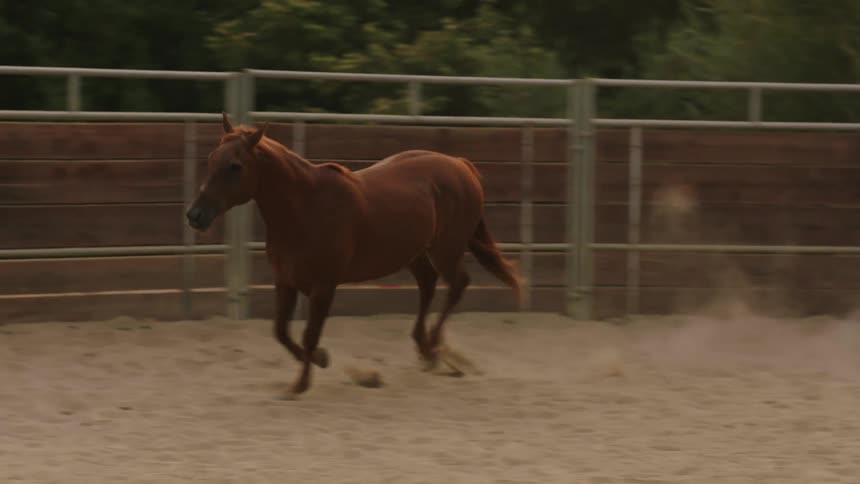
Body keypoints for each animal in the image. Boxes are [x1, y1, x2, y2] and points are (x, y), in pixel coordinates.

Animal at [186, 113, 522, 397]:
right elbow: (280, 331)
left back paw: (435, 348)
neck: (305, 209)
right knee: (428, 285)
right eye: (212, 158)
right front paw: (320, 359)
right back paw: (425, 349)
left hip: (446, 250)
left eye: (235, 166)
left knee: (457, 284)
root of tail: (461, 165)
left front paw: (300, 383)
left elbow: (308, 334)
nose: (195, 215)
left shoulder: (324, 287)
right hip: (414, 253)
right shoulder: (286, 282)